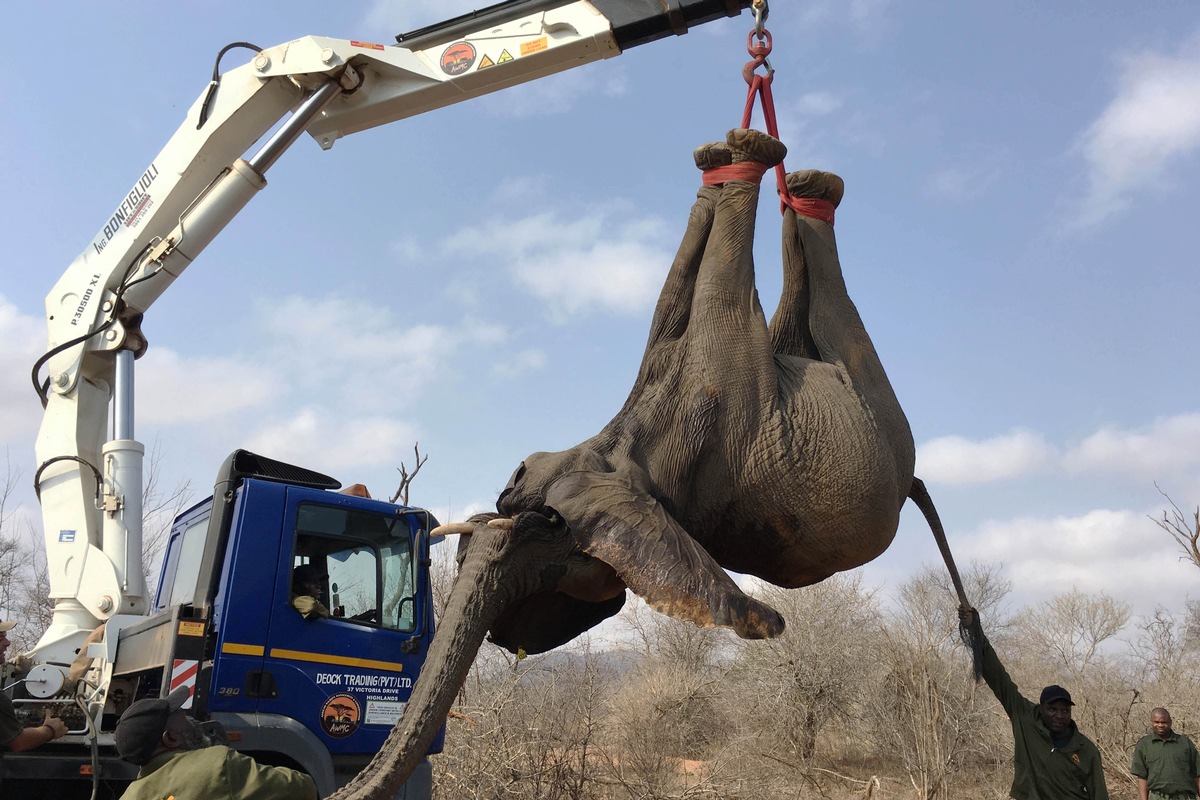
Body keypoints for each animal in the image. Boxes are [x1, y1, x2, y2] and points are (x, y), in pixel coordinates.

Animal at [328, 128, 926, 796]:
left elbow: (706, 295)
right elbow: (682, 292)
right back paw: (805, 188)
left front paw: (733, 153)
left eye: (543, 532)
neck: (618, 451)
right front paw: (720, 161)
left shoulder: (717, 386)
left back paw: (799, 182)